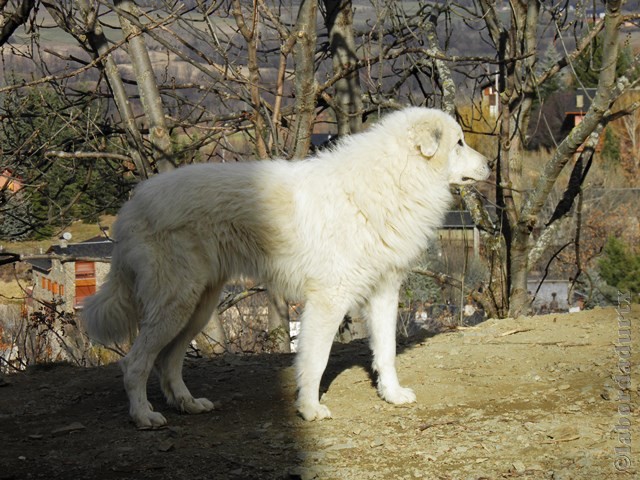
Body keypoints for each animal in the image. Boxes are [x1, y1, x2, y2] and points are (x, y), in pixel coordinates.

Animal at [82, 107, 488, 426]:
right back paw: (143, 416)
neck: (391, 179)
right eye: (459, 143)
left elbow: (385, 352)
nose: (489, 165)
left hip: (197, 307)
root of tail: (132, 206)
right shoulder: (329, 298)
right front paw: (309, 410)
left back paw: (187, 404)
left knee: (168, 362)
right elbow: (316, 359)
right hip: (176, 304)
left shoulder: (384, 293)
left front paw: (392, 394)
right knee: (134, 364)